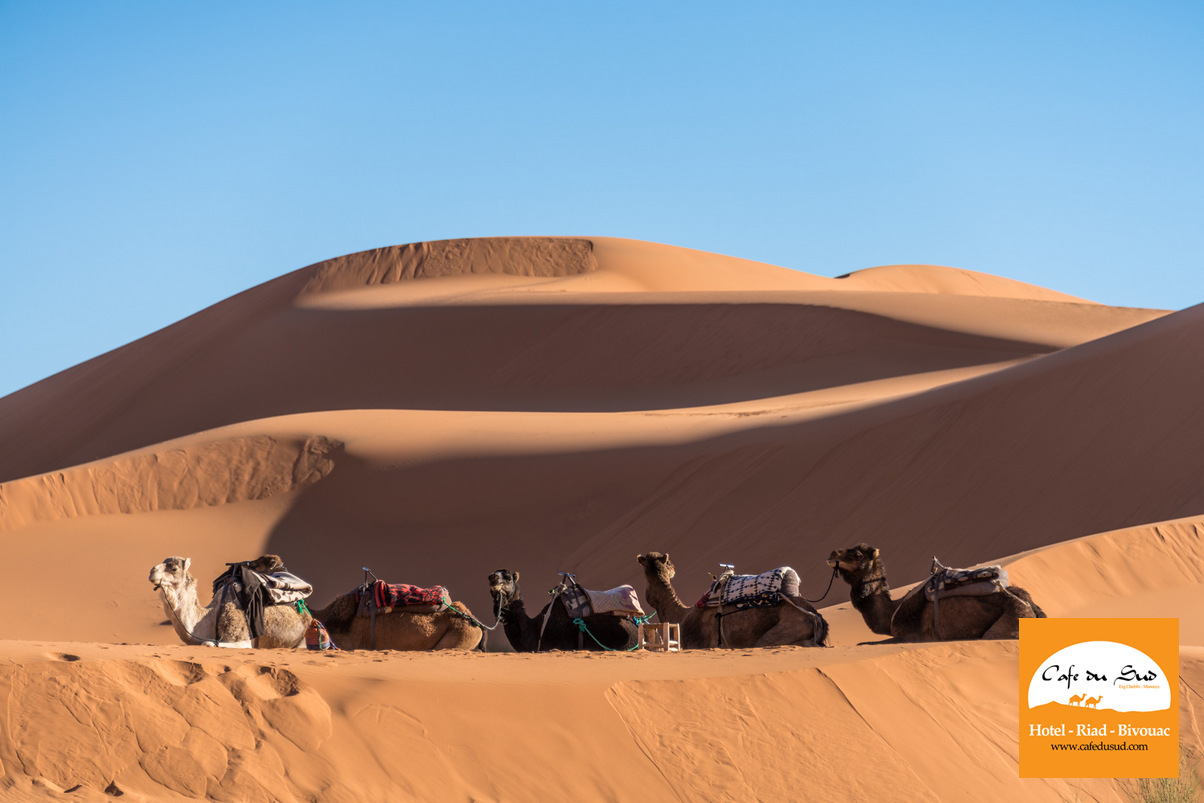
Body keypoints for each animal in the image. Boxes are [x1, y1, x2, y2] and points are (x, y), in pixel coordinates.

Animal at [828, 544, 1045, 645]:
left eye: (856, 554)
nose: (832, 554)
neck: (892, 611)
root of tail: (1031, 605)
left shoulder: (911, 636)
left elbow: (865, 642)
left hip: (1010, 622)